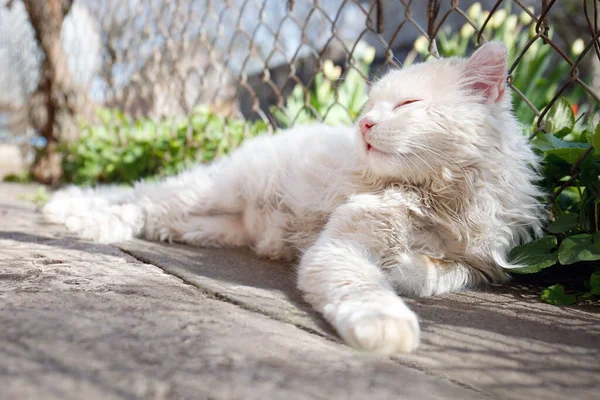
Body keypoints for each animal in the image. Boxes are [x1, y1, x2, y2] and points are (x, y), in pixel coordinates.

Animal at [44, 42, 548, 354]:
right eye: (368, 108)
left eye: (407, 105)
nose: (363, 125)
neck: (436, 197)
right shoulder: (340, 246)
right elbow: (366, 289)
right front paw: (387, 325)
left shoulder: (479, 264)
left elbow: (437, 275)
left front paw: (406, 266)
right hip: (203, 192)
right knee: (135, 201)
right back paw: (81, 218)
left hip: (208, 222)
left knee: (154, 215)